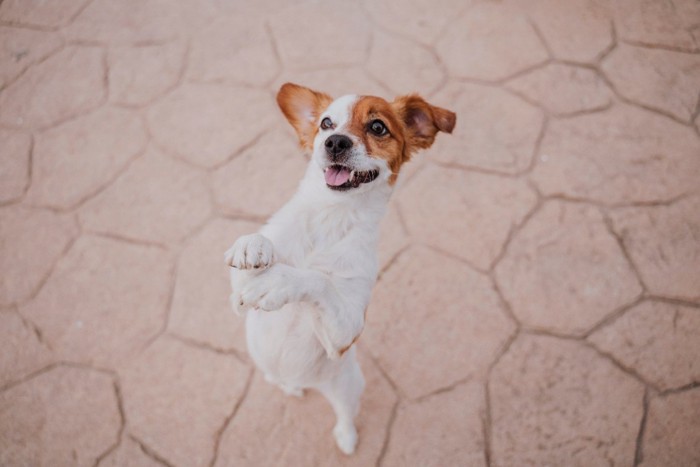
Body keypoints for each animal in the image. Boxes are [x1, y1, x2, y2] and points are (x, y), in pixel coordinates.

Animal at [223, 82, 454, 456]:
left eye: (377, 127)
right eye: (326, 124)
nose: (335, 142)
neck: (331, 216)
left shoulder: (346, 331)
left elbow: (318, 281)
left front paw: (281, 282)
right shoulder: (238, 297)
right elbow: (255, 255)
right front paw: (253, 245)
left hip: (347, 385)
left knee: (344, 414)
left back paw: (346, 437)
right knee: (278, 379)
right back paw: (289, 386)